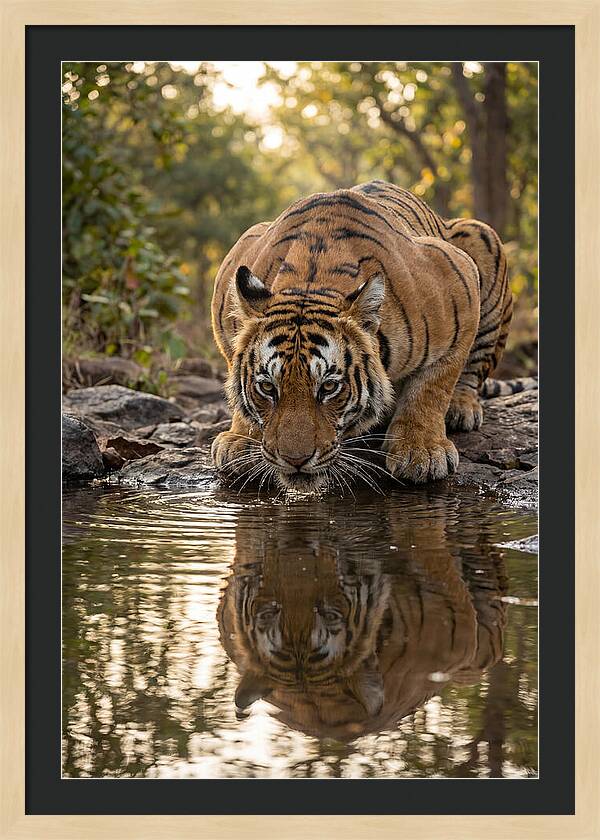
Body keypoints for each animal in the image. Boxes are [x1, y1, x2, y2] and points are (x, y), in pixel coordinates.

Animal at [211, 180, 514, 490]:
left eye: (329, 387)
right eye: (268, 387)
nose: (295, 460)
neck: (311, 281)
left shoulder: (459, 281)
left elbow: (432, 386)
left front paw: (422, 451)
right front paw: (240, 439)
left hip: (482, 236)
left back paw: (461, 408)